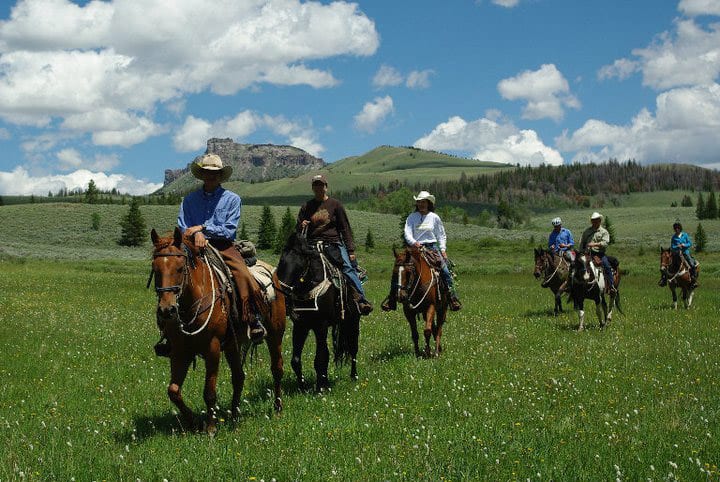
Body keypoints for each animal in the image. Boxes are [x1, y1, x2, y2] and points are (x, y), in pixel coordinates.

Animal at [150, 228, 286, 434]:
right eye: (155, 268)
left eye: (180, 268)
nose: (167, 310)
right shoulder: (179, 351)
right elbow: (173, 391)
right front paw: (194, 422)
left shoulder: (212, 348)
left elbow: (209, 392)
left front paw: (211, 428)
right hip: (232, 345)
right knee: (239, 377)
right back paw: (235, 416)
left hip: (275, 335)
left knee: (277, 369)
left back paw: (277, 409)